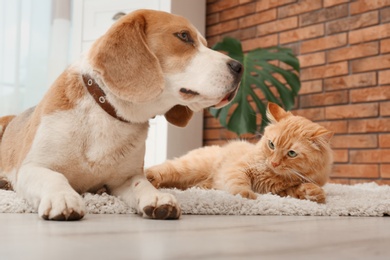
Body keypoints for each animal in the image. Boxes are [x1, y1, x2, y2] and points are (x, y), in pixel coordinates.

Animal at [0, 10, 241, 221]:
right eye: (183, 36)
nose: (239, 66)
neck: (106, 114)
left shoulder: (125, 178)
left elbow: (142, 184)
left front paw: (156, 198)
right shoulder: (31, 167)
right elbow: (54, 177)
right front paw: (64, 197)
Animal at [145, 103, 334, 203]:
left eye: (292, 153)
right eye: (272, 145)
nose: (274, 163)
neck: (272, 174)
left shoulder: (279, 191)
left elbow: (298, 190)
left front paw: (314, 192)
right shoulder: (239, 168)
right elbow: (239, 182)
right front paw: (246, 195)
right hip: (190, 168)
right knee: (161, 169)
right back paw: (150, 179)